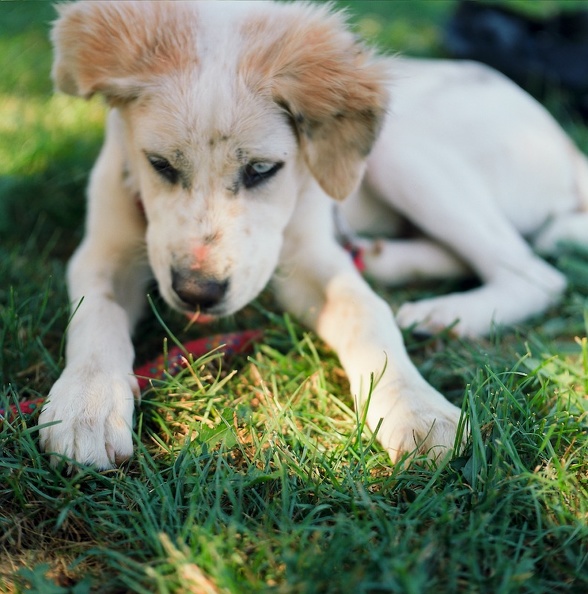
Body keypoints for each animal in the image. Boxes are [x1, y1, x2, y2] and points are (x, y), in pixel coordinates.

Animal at [39, 2, 588, 470]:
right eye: (159, 165)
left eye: (263, 170)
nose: (197, 293)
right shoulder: (103, 249)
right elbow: (96, 313)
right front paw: (86, 404)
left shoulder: (309, 259)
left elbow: (366, 313)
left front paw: (416, 410)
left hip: (401, 146)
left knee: (536, 273)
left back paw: (446, 313)